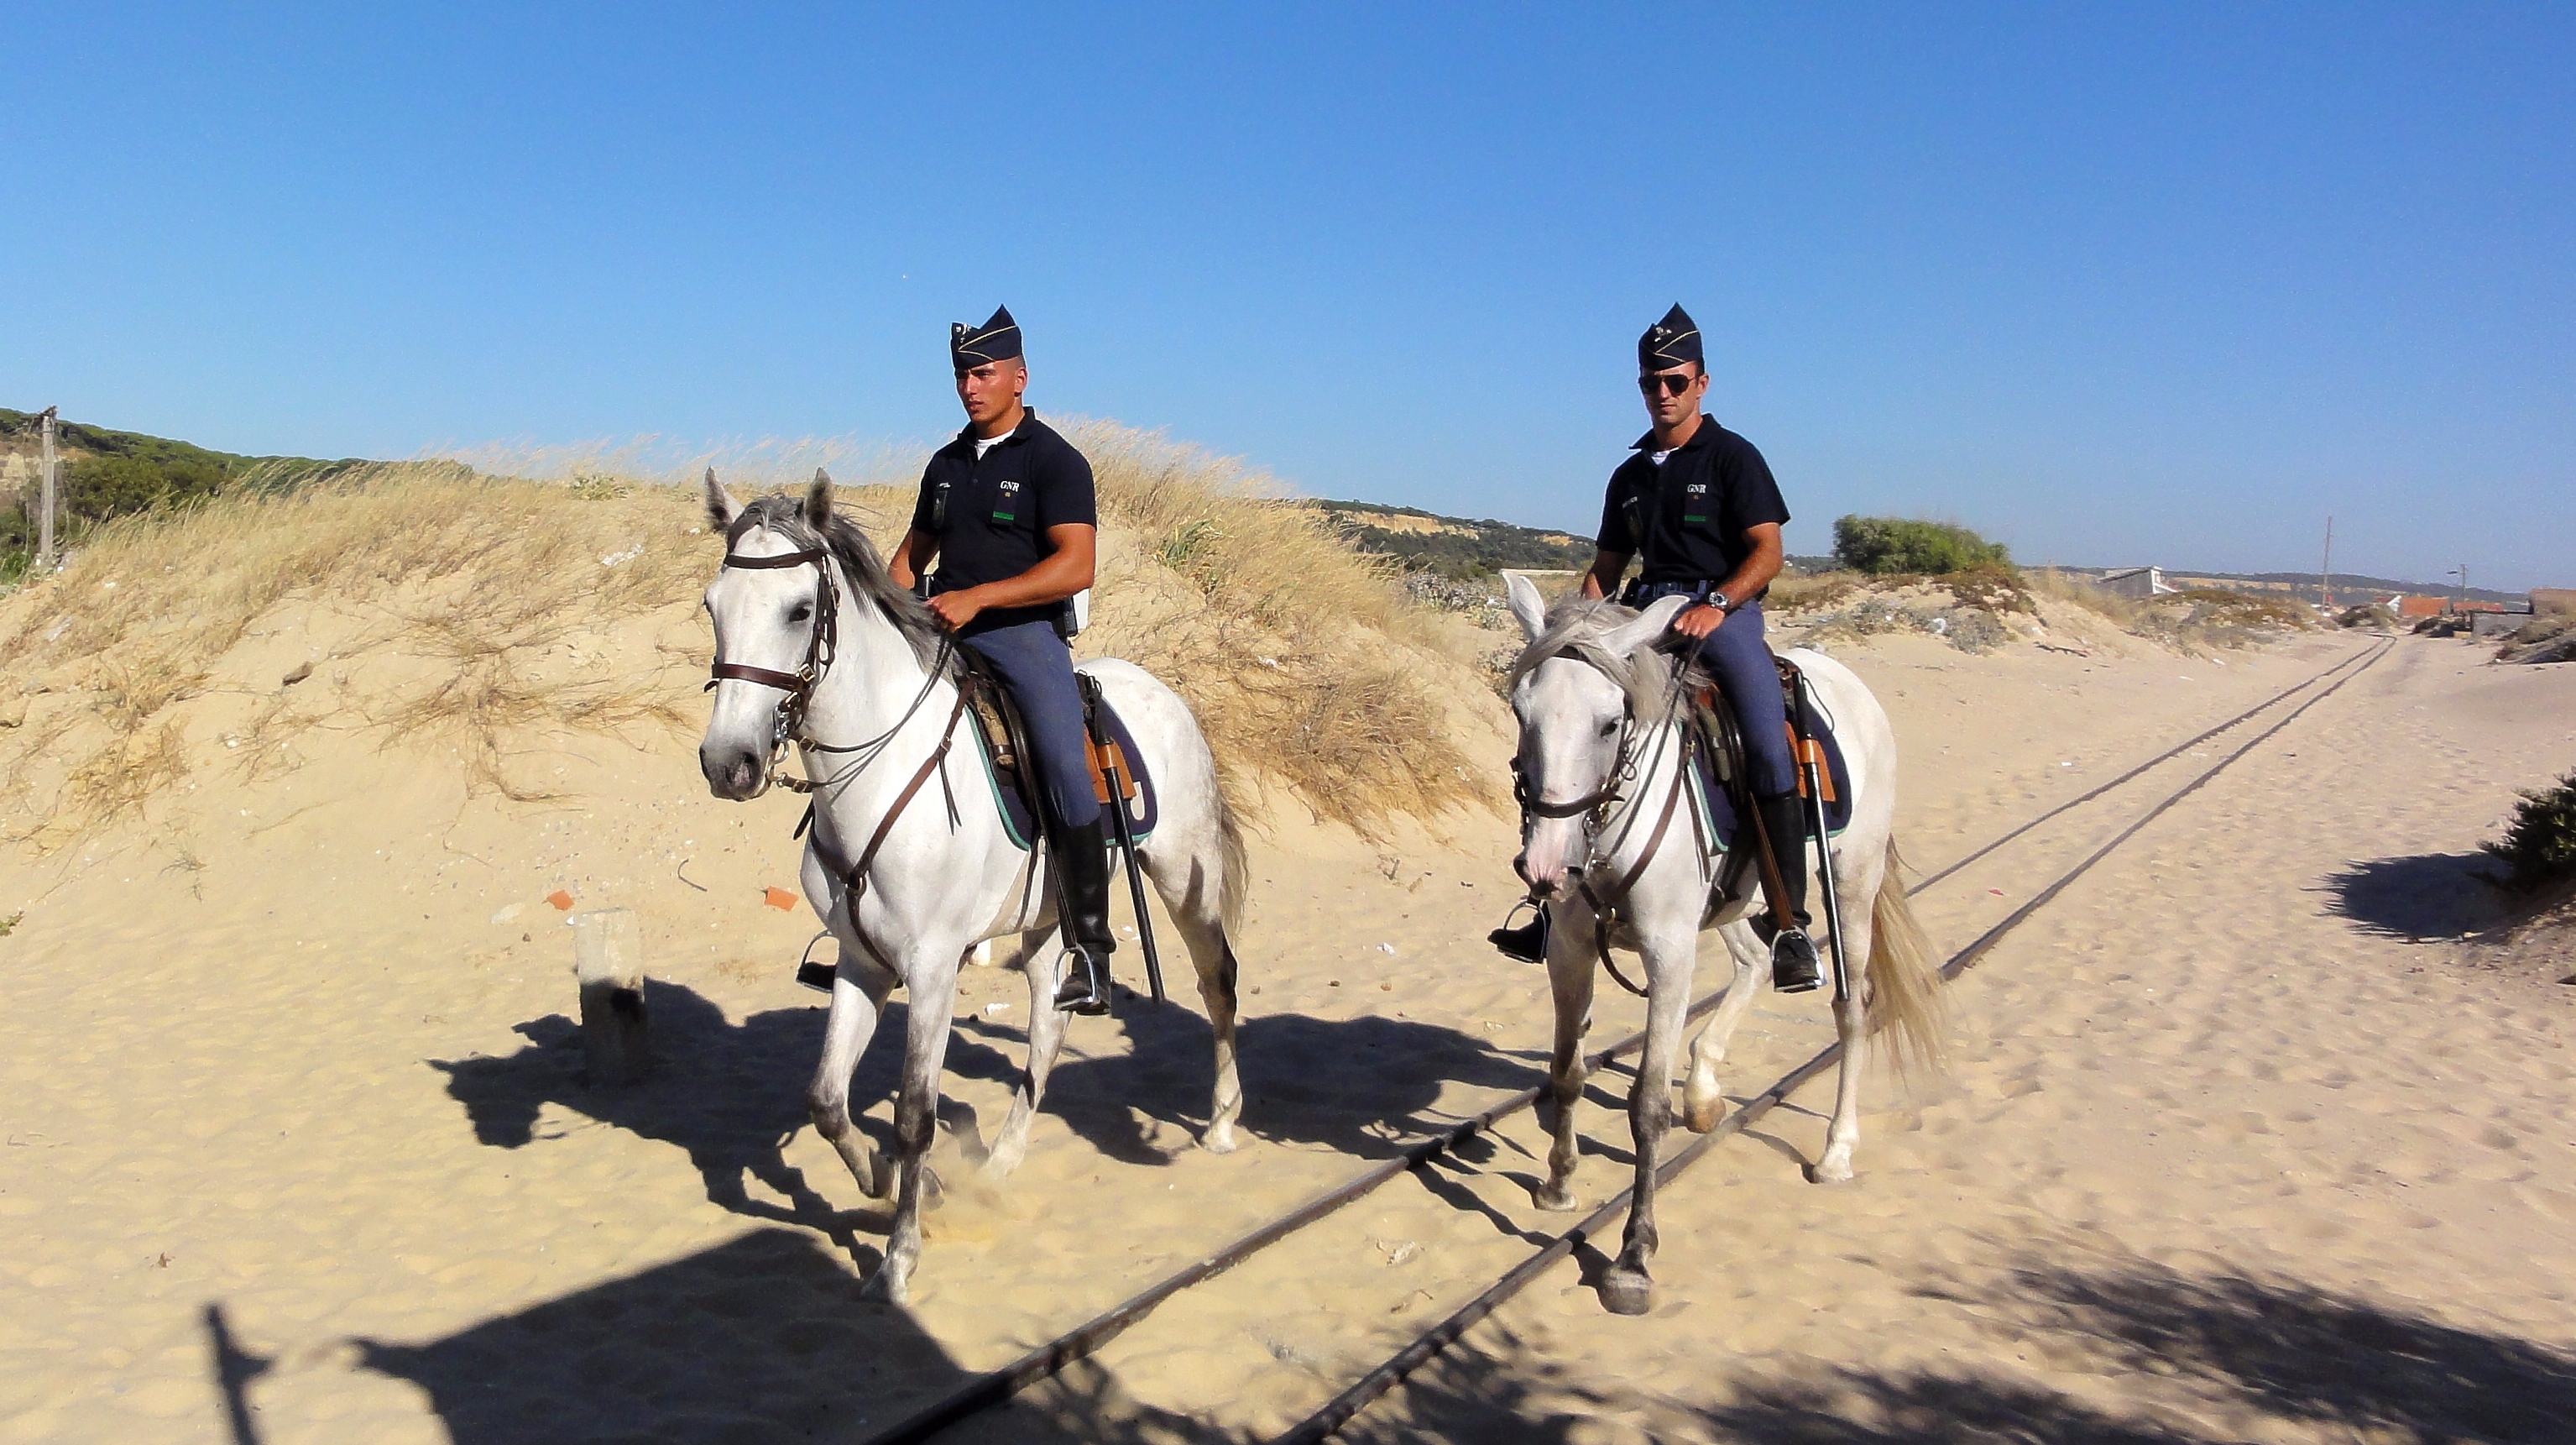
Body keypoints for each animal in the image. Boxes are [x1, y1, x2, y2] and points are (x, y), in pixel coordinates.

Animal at [700, 471, 1251, 1298]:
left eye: (799, 610)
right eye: (712, 604)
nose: (726, 761)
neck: (878, 767)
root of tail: (1161, 691)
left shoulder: (930, 969)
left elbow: (914, 1116)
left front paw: (898, 1255)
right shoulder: (862, 963)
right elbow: (827, 1100)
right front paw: (889, 1181)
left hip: (1185, 877)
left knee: (1217, 978)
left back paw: (1219, 1121)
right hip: (1049, 920)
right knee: (1049, 1024)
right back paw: (997, 1165)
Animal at [1504, 568, 1936, 1313]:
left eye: (1609, 721)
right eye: (1519, 711)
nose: (1545, 864)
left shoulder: (1669, 954)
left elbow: (1645, 1104)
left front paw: (1633, 1255)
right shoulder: (1569, 950)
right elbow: (1565, 1073)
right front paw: (1559, 1184)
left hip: (1851, 887)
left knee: (1850, 1008)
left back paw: (1835, 1151)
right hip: (1738, 897)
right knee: (1757, 959)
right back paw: (1704, 1089)